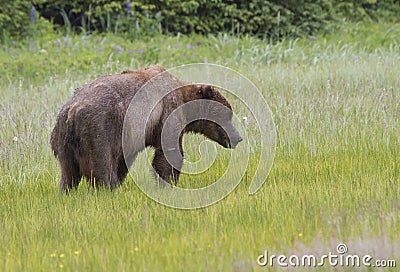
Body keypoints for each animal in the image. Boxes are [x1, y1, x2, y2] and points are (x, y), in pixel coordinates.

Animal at [51, 65, 242, 191]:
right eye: (228, 115)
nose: (238, 137)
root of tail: (72, 111)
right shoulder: (168, 112)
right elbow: (169, 152)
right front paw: (168, 183)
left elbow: (124, 160)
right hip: (99, 128)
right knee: (102, 162)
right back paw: (108, 188)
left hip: (62, 138)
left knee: (68, 171)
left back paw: (66, 191)